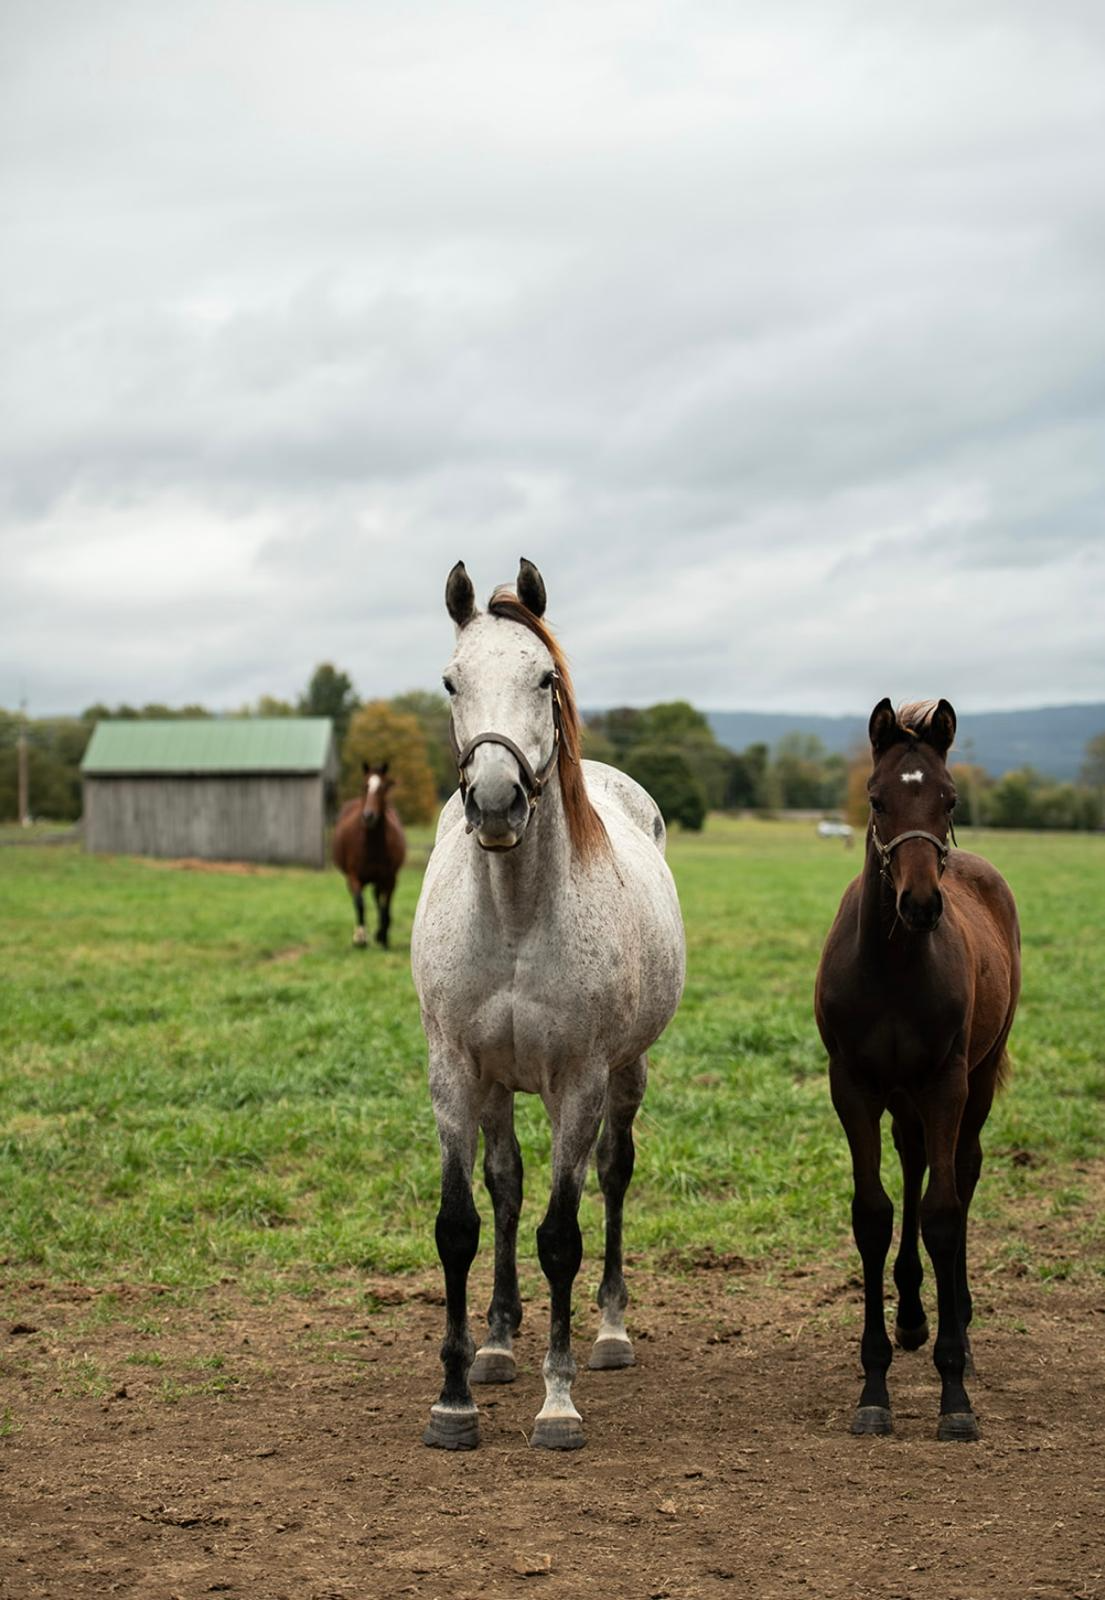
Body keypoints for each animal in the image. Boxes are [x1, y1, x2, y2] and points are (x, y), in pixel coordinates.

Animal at [332, 761, 406, 949]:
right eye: (364, 786)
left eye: (384, 787)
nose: (369, 816)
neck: (371, 846)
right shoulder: (353, 876)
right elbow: (359, 903)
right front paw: (360, 938)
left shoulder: (390, 878)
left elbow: (385, 907)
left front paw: (383, 937)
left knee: (380, 900)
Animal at [411, 558, 686, 1451]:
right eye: (451, 680)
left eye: (544, 678)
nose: (496, 802)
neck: (515, 917)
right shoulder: (456, 1073)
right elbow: (461, 1224)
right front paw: (454, 1398)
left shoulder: (579, 1081)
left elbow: (561, 1235)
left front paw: (557, 1402)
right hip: (498, 1085)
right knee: (505, 1187)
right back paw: (496, 1344)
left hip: (626, 1073)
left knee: (613, 1173)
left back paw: (608, 1331)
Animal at [815, 698, 1020, 1442]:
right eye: (877, 799)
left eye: (948, 797)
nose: (922, 905)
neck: (895, 966)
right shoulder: (852, 1085)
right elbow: (873, 1213)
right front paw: (873, 1386)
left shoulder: (946, 1083)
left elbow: (942, 1212)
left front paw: (953, 1393)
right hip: (902, 1096)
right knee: (912, 1161)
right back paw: (910, 1317)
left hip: (975, 1080)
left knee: (960, 1171)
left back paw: (957, 1317)